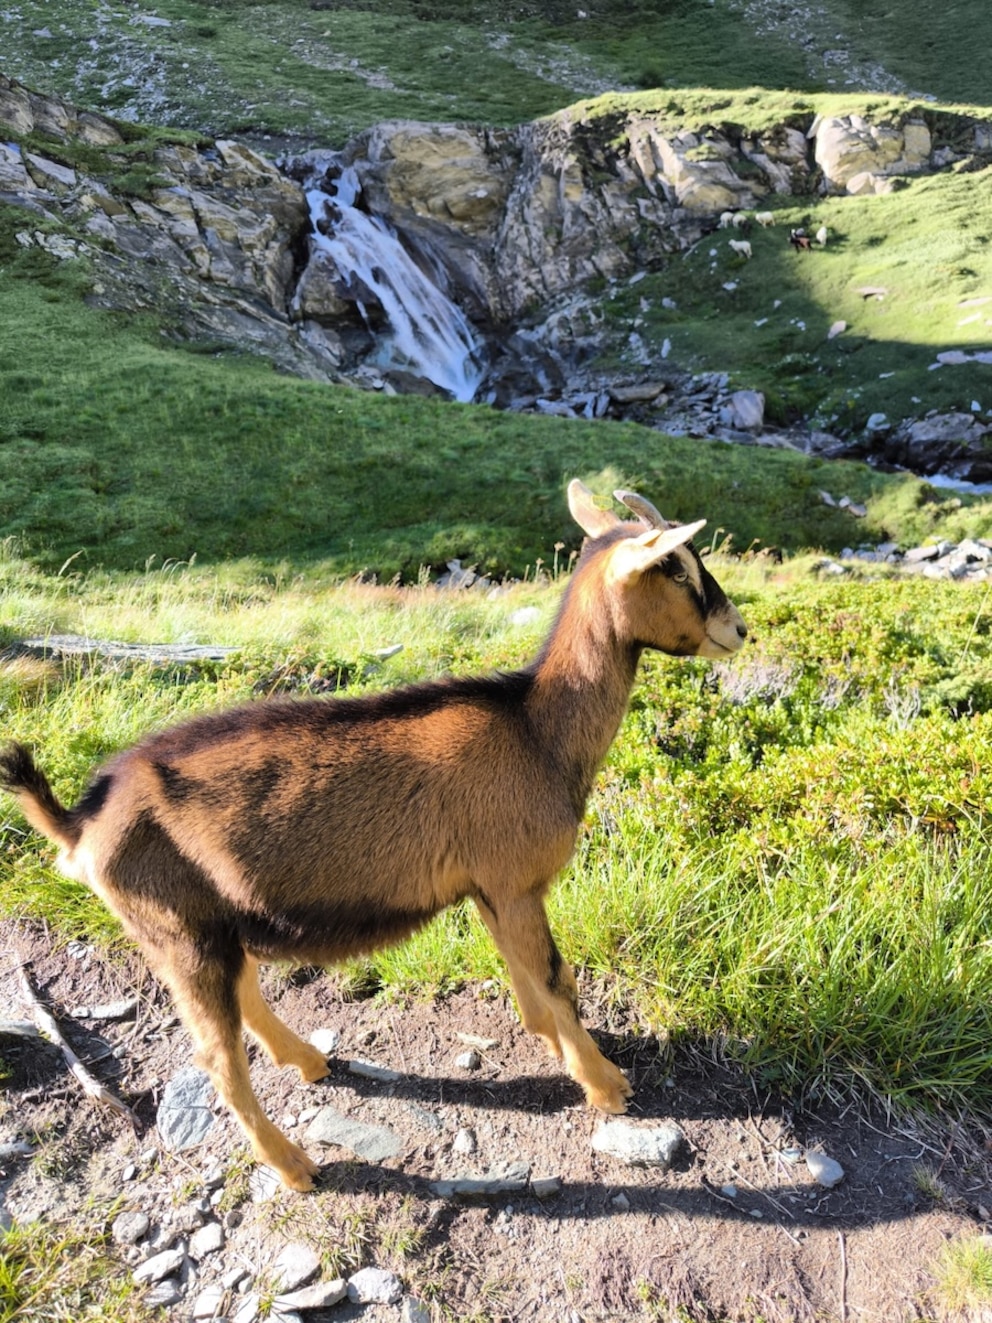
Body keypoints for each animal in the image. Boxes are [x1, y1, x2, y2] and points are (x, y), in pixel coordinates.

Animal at [0, 481, 747, 1192]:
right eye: (676, 566)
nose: (737, 628)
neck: (536, 732)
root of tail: (80, 822)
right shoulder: (512, 879)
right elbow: (557, 979)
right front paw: (607, 1084)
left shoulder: (492, 887)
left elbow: (527, 980)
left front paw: (556, 1048)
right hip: (174, 929)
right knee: (216, 1056)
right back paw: (296, 1167)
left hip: (211, 922)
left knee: (244, 992)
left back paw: (308, 1061)